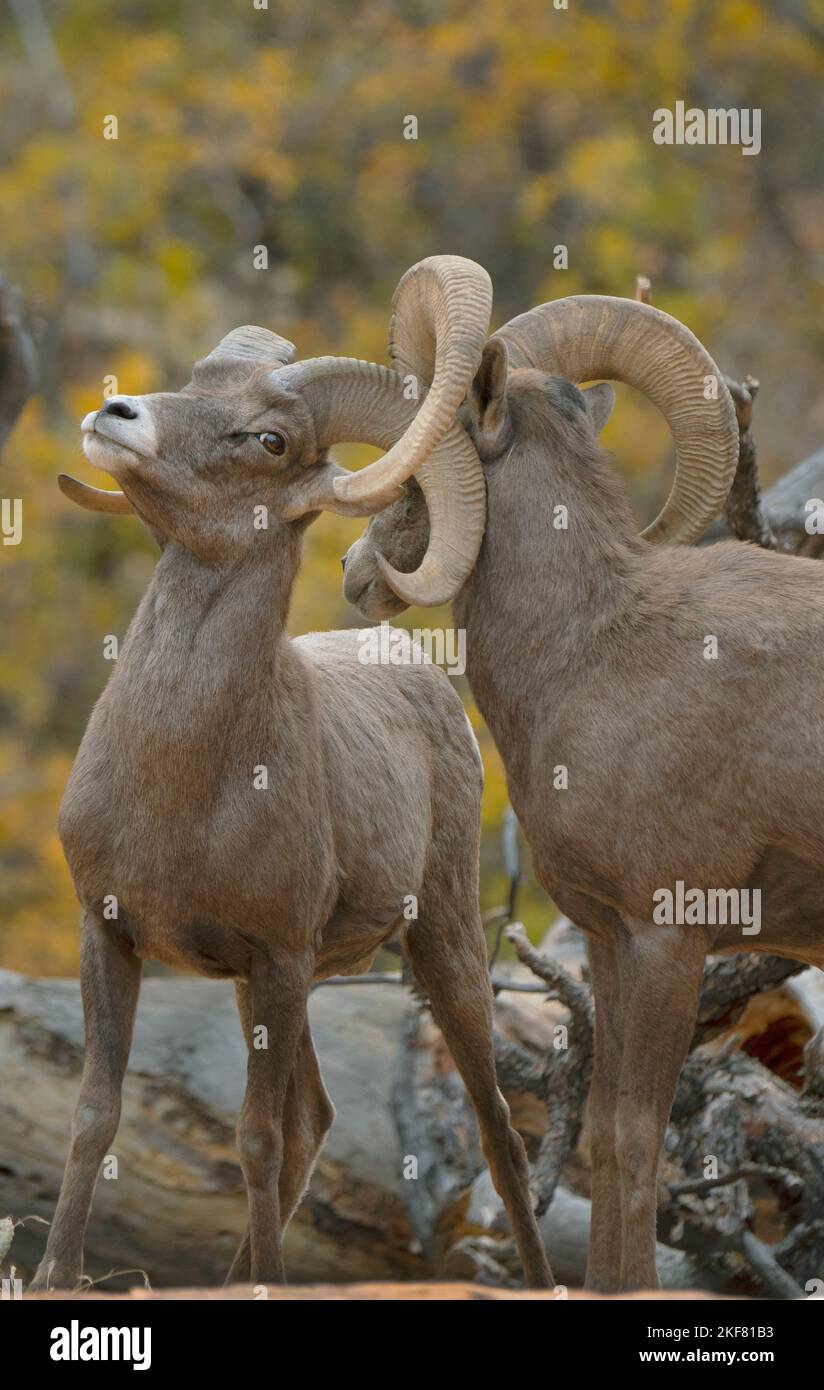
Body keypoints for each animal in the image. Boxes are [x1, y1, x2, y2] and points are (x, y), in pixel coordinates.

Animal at [28, 255, 550, 1284]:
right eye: (197, 380)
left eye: (269, 439)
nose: (116, 415)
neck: (184, 786)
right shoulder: (111, 937)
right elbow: (95, 1120)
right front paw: (55, 1277)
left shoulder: (274, 960)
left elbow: (256, 1140)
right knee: (319, 1117)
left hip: (442, 947)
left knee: (498, 1135)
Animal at [341, 284, 824, 1289]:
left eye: (418, 463)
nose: (355, 575)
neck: (592, 649)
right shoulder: (608, 943)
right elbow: (602, 1139)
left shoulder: (668, 939)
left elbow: (638, 1145)